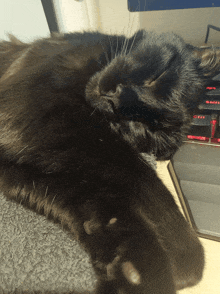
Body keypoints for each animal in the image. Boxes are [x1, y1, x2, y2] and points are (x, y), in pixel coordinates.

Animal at [0, 30, 218, 294]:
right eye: (156, 78)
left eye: (140, 126)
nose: (114, 98)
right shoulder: (35, 105)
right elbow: (138, 173)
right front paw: (182, 245)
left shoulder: (22, 171)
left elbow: (92, 200)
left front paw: (136, 268)